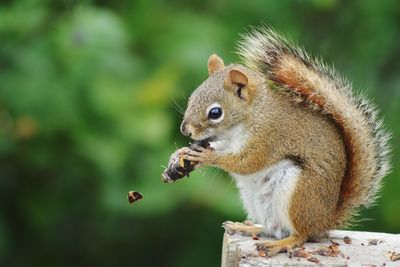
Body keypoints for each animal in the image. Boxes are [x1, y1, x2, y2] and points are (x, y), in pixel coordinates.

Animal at [178, 27, 390, 258]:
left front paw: (206, 156)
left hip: (297, 194)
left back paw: (280, 244)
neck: (252, 116)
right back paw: (247, 228)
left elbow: (247, 163)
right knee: (273, 228)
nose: (185, 129)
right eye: (192, 97)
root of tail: (325, 221)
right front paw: (181, 154)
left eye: (215, 113)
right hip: (255, 201)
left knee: (301, 234)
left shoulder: (268, 137)